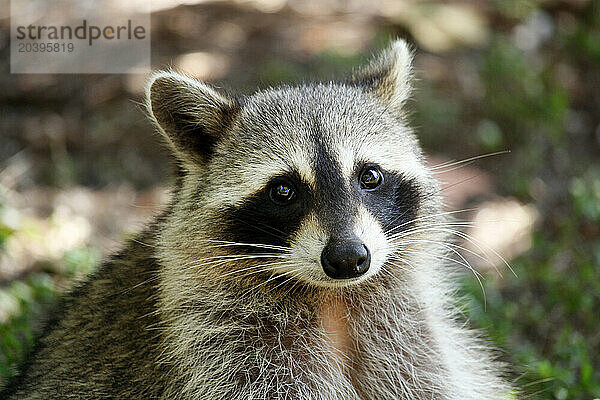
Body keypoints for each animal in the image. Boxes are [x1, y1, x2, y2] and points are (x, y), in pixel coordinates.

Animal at [2, 39, 512, 398]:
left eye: (369, 176)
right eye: (283, 190)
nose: (349, 258)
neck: (332, 298)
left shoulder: (410, 340)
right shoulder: (221, 348)